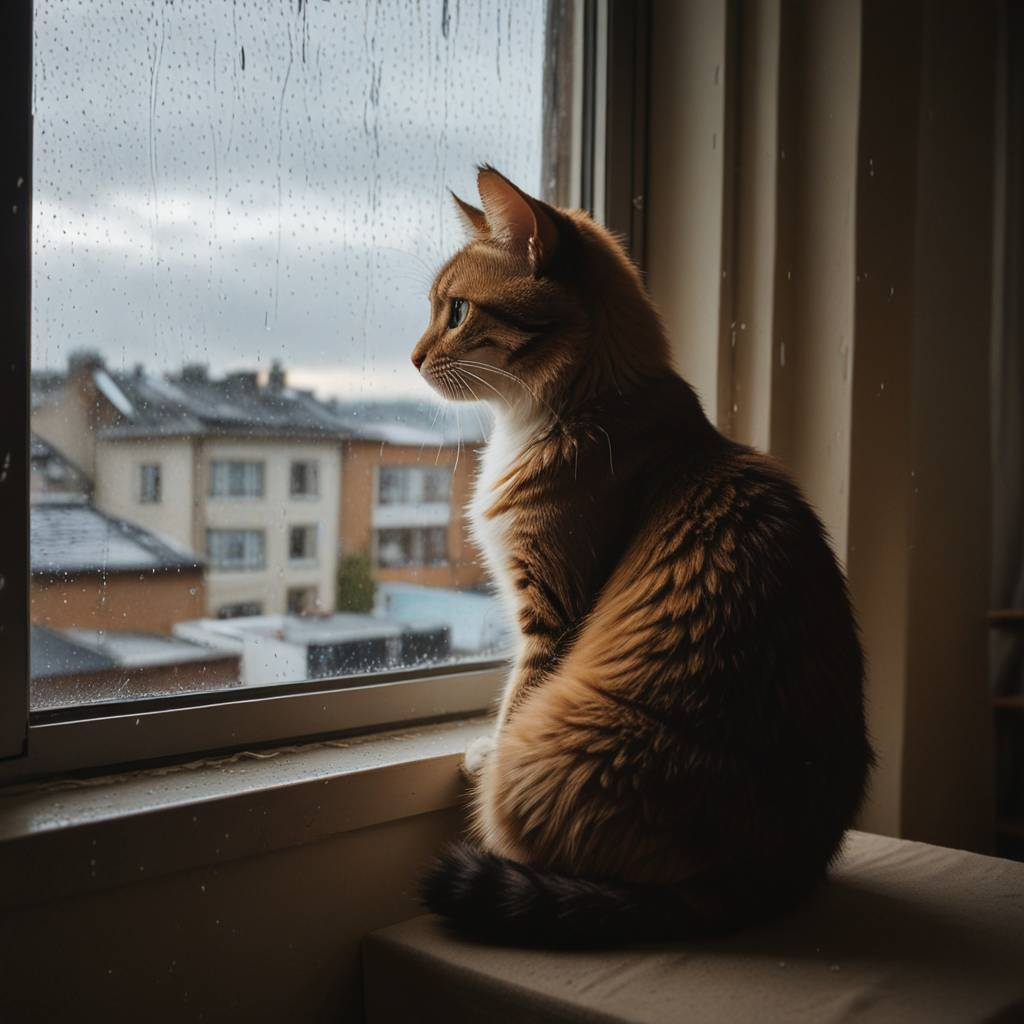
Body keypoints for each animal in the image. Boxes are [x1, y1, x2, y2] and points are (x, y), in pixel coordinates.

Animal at [411, 167, 868, 942]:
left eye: (459, 311)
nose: (411, 360)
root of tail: (767, 877)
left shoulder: (550, 614)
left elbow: (514, 698)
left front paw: (486, 749)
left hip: (552, 758)